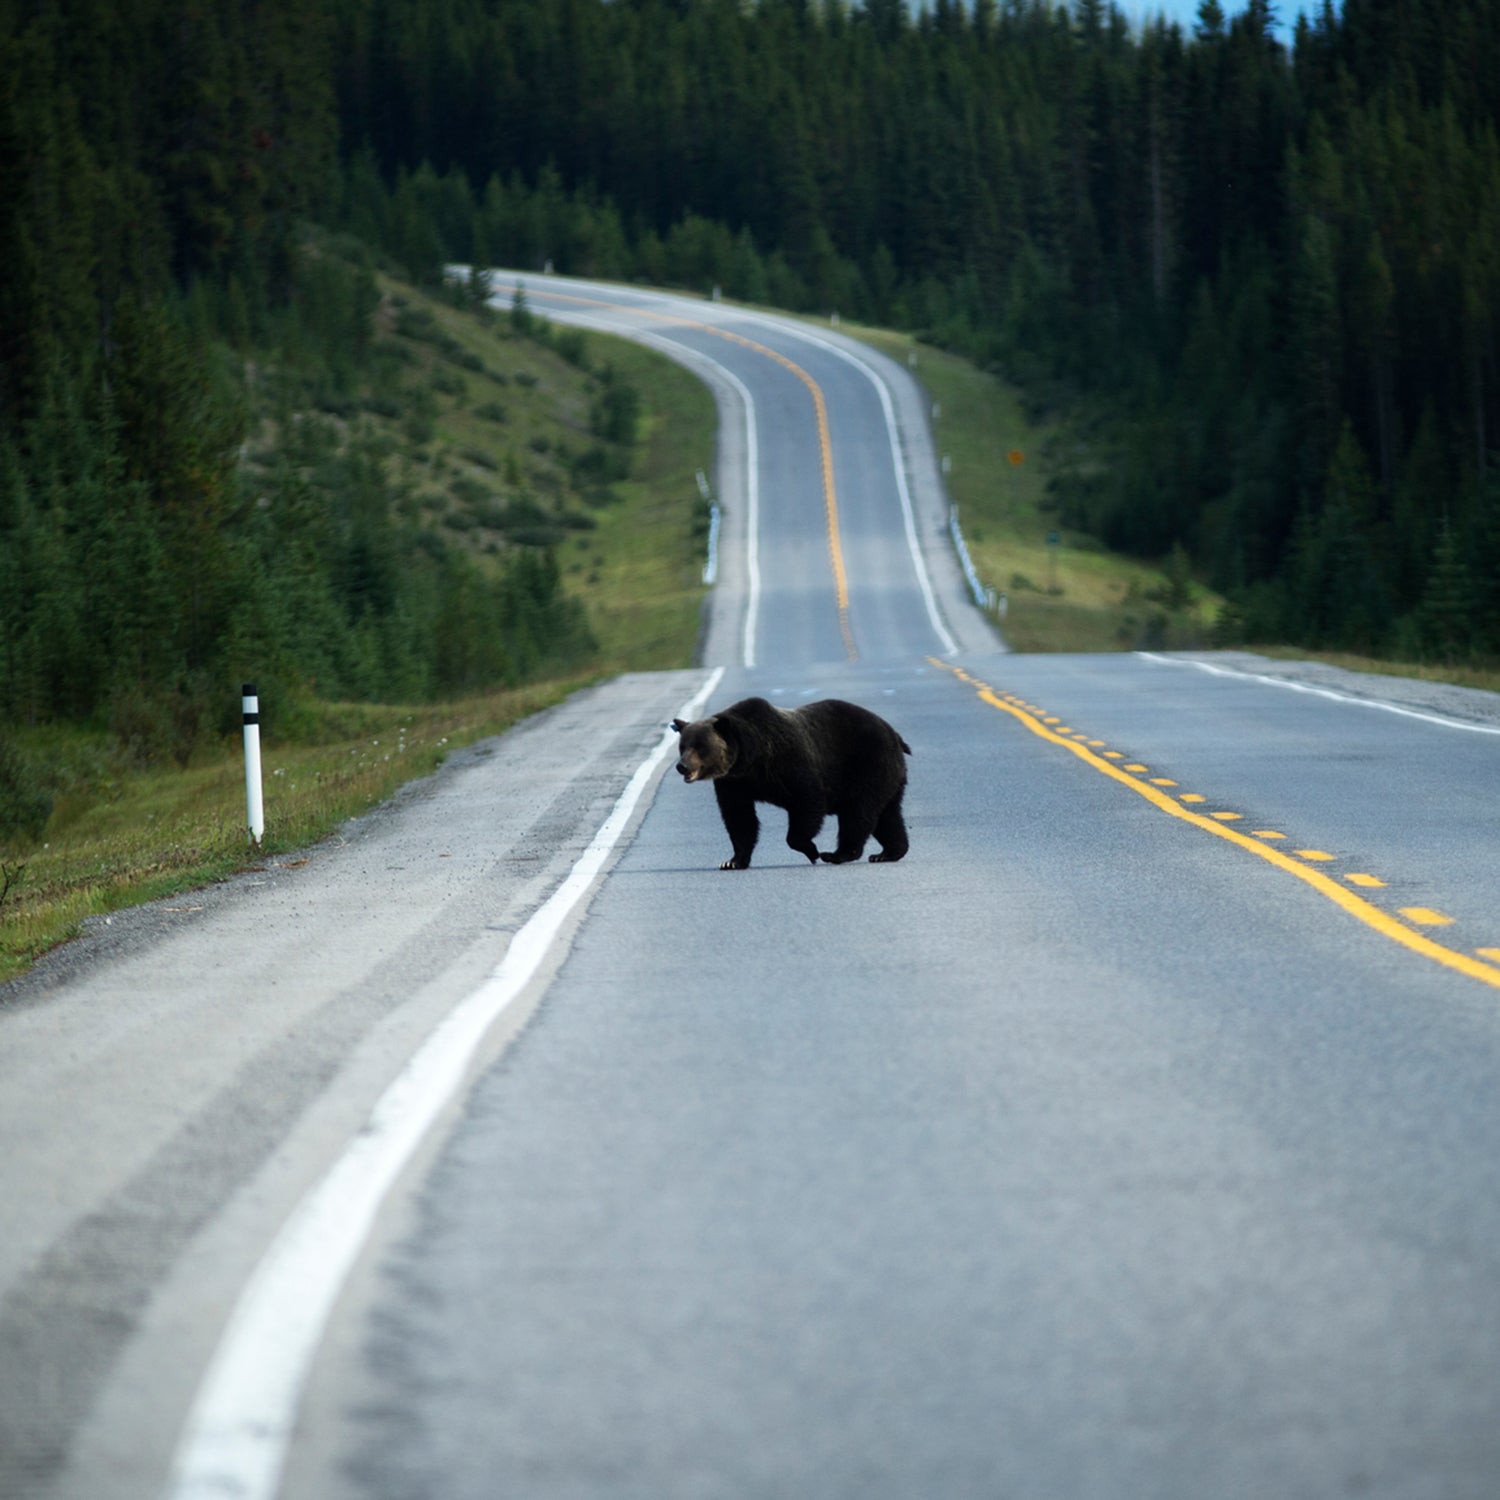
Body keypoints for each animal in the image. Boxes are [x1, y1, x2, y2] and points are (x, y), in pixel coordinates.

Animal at [672, 696, 906, 876]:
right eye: (682, 746)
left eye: (700, 746)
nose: (681, 766)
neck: (751, 759)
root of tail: (894, 733)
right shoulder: (733, 783)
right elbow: (739, 818)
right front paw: (732, 861)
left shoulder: (788, 763)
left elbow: (808, 801)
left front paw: (811, 851)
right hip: (886, 777)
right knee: (887, 816)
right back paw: (888, 852)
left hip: (867, 764)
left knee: (858, 812)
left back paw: (837, 854)